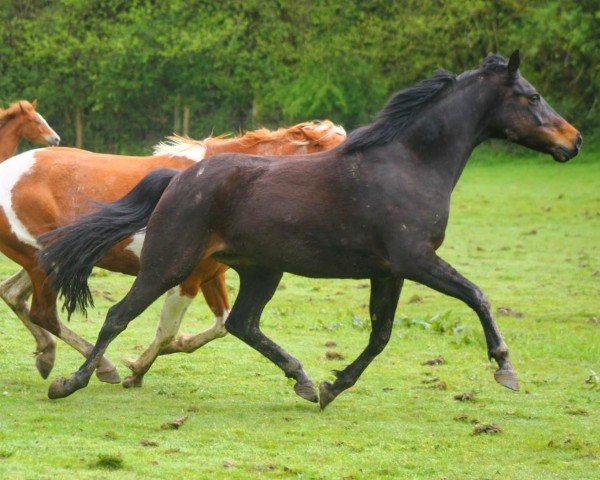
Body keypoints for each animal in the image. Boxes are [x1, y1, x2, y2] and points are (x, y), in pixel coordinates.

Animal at [0, 121, 344, 386]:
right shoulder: (184, 279)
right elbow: (168, 330)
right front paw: (137, 370)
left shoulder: (211, 276)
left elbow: (220, 325)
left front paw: (156, 356)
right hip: (44, 264)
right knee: (42, 313)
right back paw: (102, 367)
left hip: (52, 259)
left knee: (14, 294)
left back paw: (48, 354)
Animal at [37, 50, 580, 406]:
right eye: (532, 96)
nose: (573, 141)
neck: (408, 163)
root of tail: (180, 178)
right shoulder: (416, 260)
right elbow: (477, 296)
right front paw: (505, 368)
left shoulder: (389, 271)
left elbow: (381, 335)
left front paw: (332, 387)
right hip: (169, 264)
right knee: (118, 316)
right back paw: (71, 382)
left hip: (260, 270)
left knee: (242, 323)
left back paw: (300, 377)